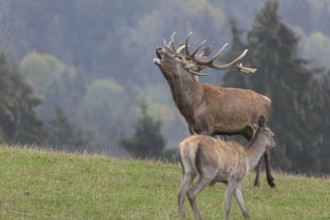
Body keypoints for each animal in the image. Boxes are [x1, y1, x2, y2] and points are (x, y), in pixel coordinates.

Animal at [155, 32, 276, 187]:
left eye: (179, 57)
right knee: (265, 150)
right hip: (246, 130)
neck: (195, 103)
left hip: (256, 124)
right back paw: (270, 181)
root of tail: (268, 100)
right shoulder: (197, 128)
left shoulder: (207, 125)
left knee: (261, 151)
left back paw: (257, 183)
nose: (159, 49)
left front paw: (208, 182)